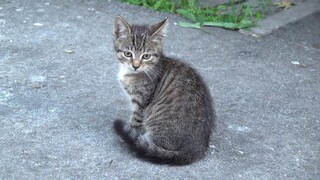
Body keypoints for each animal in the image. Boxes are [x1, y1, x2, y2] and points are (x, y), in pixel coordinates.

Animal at [112, 16, 215, 165]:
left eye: (146, 56)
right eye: (128, 54)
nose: (135, 66)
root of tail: (196, 148)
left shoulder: (142, 102)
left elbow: (136, 120)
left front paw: (130, 132)